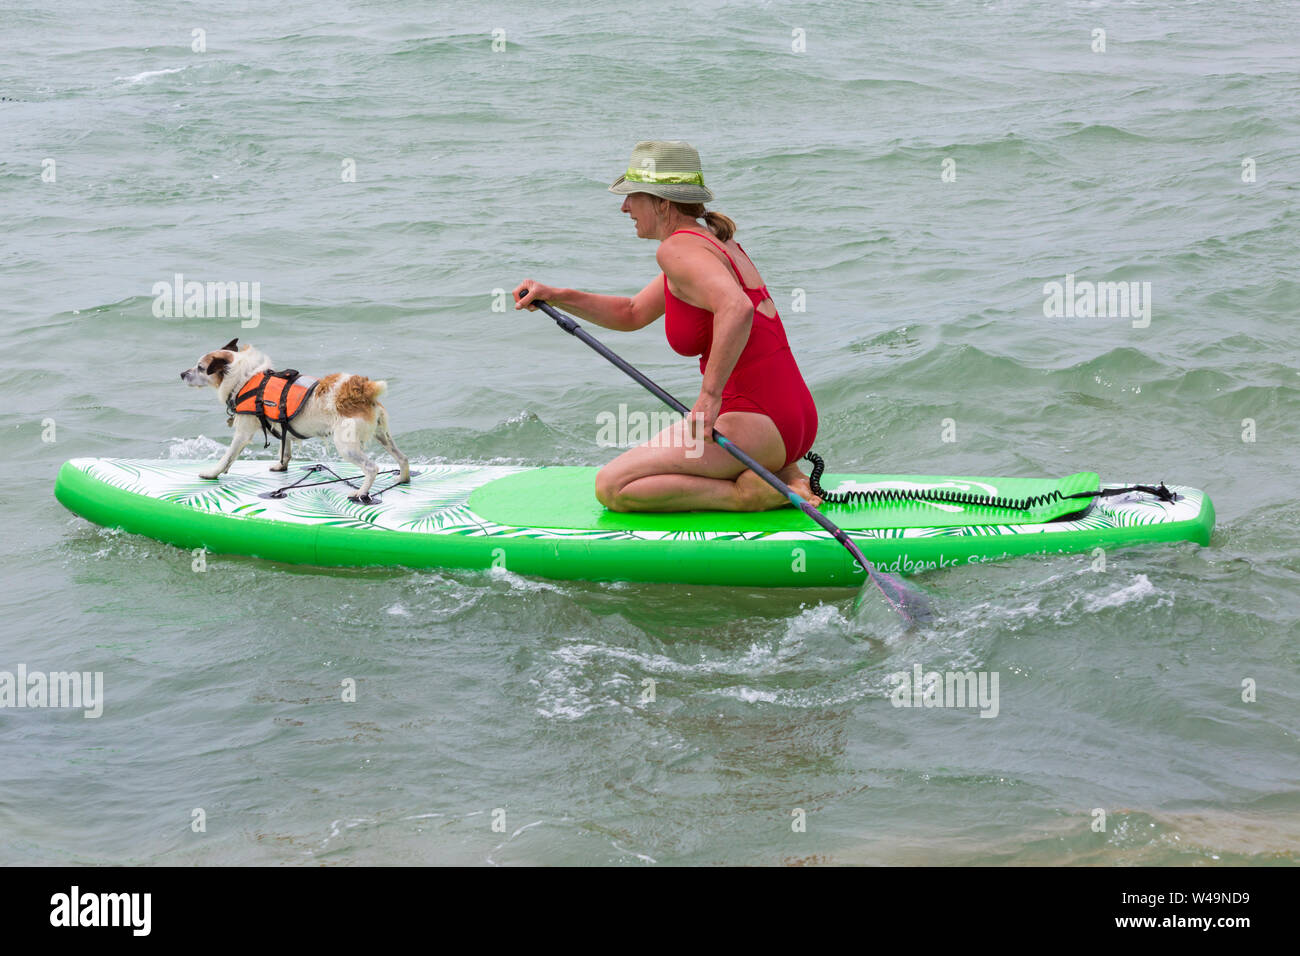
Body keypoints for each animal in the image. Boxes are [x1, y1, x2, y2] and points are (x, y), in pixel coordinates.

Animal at [180, 338, 408, 502]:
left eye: (200, 367)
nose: (182, 374)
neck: (245, 377)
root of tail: (362, 390)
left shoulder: (242, 434)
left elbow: (227, 457)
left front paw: (212, 473)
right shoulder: (284, 427)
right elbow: (285, 450)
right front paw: (281, 466)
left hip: (347, 446)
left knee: (371, 468)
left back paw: (361, 492)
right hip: (383, 436)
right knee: (402, 457)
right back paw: (403, 478)